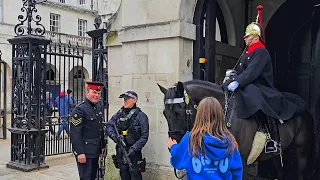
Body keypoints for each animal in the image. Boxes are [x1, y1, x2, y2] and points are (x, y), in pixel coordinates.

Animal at [159, 80, 314, 180]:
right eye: (165, 114)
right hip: (277, 154)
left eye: (179, 112)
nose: (172, 144)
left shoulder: (242, 161)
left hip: (302, 150)